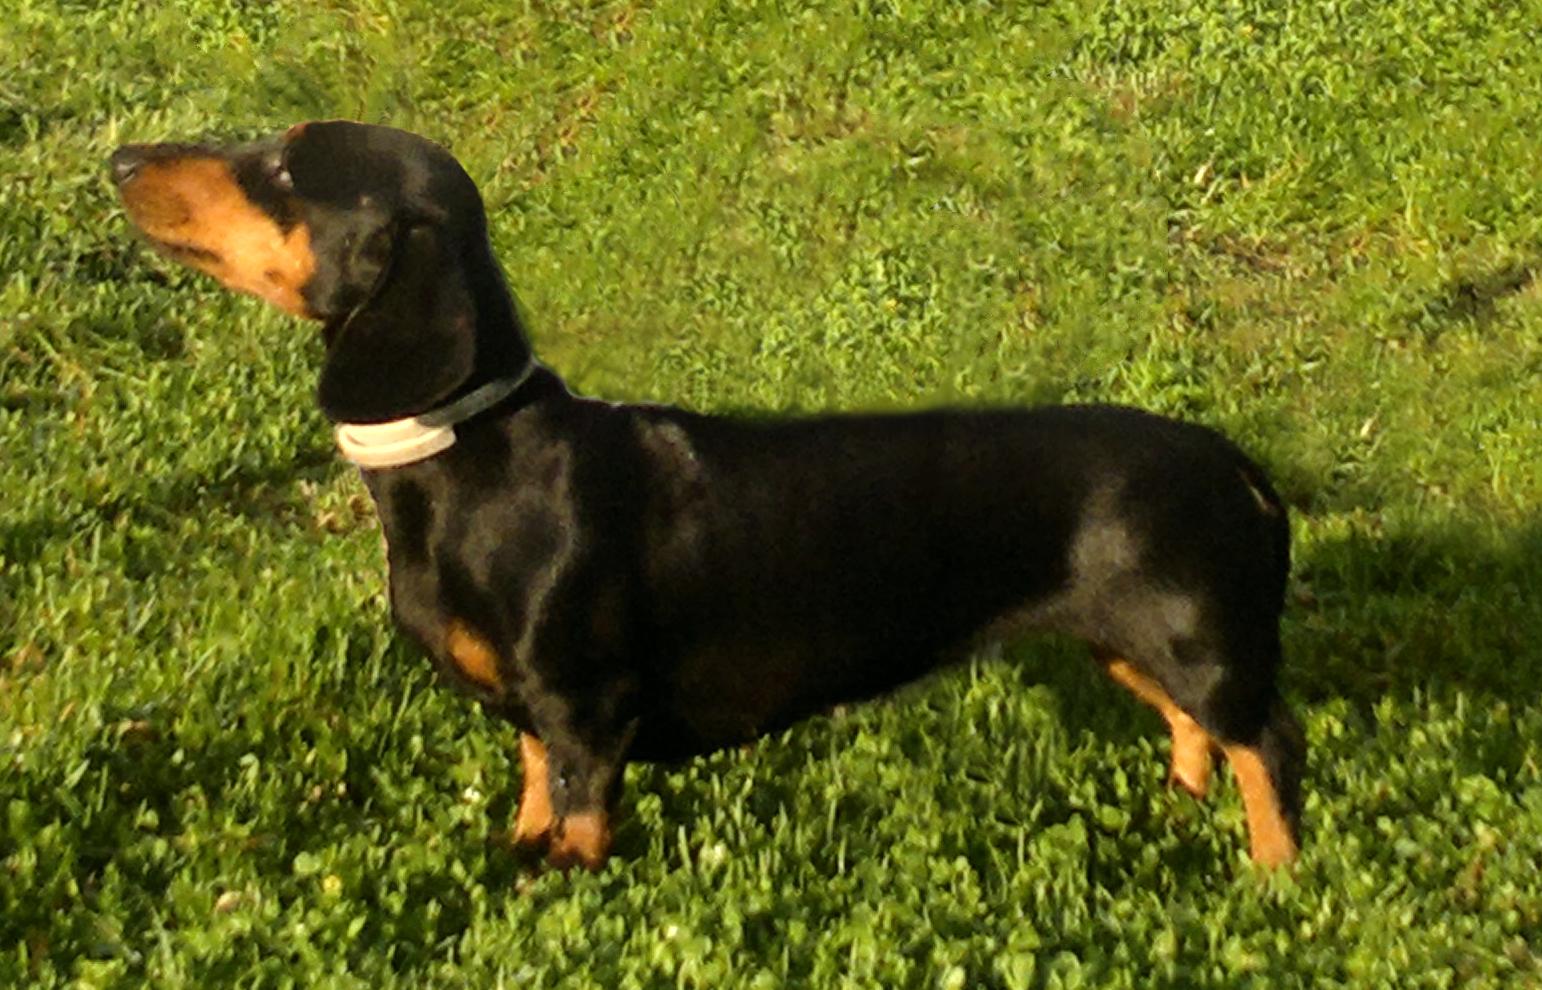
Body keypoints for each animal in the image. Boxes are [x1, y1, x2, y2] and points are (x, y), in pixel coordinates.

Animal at [111, 120, 1304, 870]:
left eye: (284, 166)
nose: (119, 157)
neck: (473, 458)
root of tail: (1230, 462)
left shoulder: (586, 711)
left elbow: (576, 829)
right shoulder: (537, 721)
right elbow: (531, 790)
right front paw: (512, 850)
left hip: (1198, 642)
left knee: (1266, 745)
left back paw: (1275, 870)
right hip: (1131, 645)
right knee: (1196, 733)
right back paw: (1181, 806)